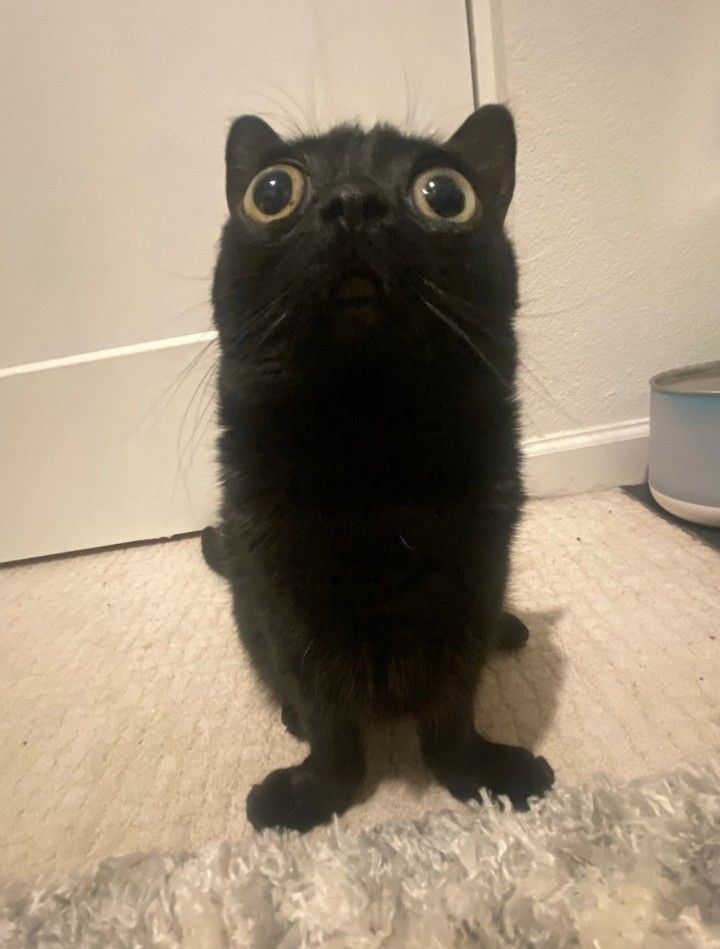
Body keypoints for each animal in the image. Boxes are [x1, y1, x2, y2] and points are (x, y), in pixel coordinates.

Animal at [205, 105, 556, 828]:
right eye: (273, 191)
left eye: (445, 195)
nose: (352, 201)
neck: (369, 439)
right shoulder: (281, 592)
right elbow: (326, 713)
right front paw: (315, 794)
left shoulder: (474, 577)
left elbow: (452, 707)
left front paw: (479, 773)